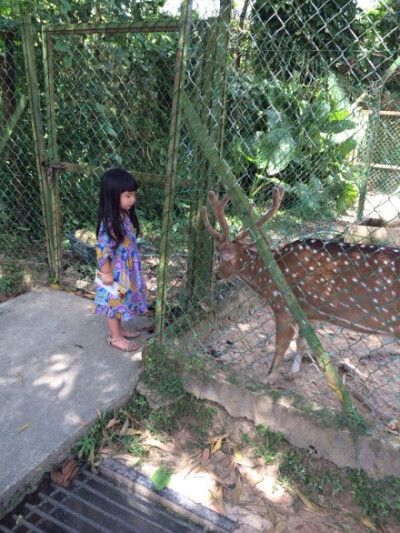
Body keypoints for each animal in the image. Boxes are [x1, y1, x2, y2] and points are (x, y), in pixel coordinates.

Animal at [202, 187, 400, 374]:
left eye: (219, 256)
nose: (217, 275)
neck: (269, 277)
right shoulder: (310, 312)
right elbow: (302, 343)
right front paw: (294, 371)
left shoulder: (284, 308)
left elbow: (280, 349)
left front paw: (269, 379)